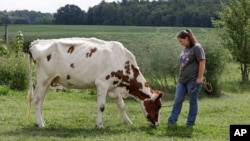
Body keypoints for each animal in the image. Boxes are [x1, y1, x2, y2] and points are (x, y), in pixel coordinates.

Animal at [27, 37, 163, 128]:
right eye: (158, 106)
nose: (157, 123)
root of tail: (36, 42)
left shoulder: (114, 88)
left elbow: (121, 105)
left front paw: (128, 122)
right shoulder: (102, 83)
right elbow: (101, 106)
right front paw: (99, 125)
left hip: (48, 81)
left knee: (40, 101)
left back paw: (40, 121)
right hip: (44, 79)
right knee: (37, 100)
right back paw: (41, 124)